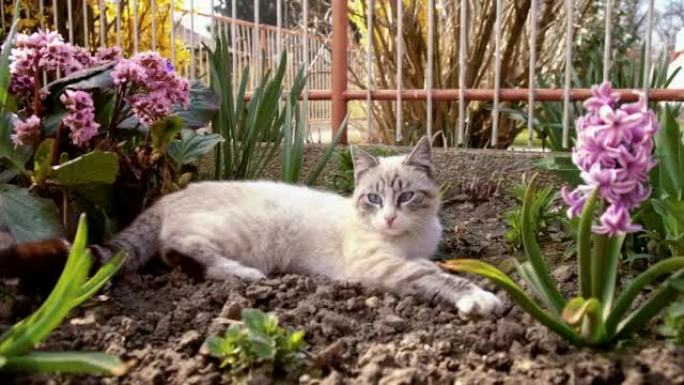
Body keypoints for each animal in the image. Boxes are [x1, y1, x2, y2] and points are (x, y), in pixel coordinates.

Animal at [84, 136, 502, 316]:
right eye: (372, 199)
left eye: (406, 197)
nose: (388, 217)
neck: (408, 239)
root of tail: (169, 197)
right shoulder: (377, 264)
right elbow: (434, 277)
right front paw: (479, 297)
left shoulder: (415, 255)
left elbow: (432, 267)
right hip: (239, 235)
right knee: (178, 246)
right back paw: (245, 275)